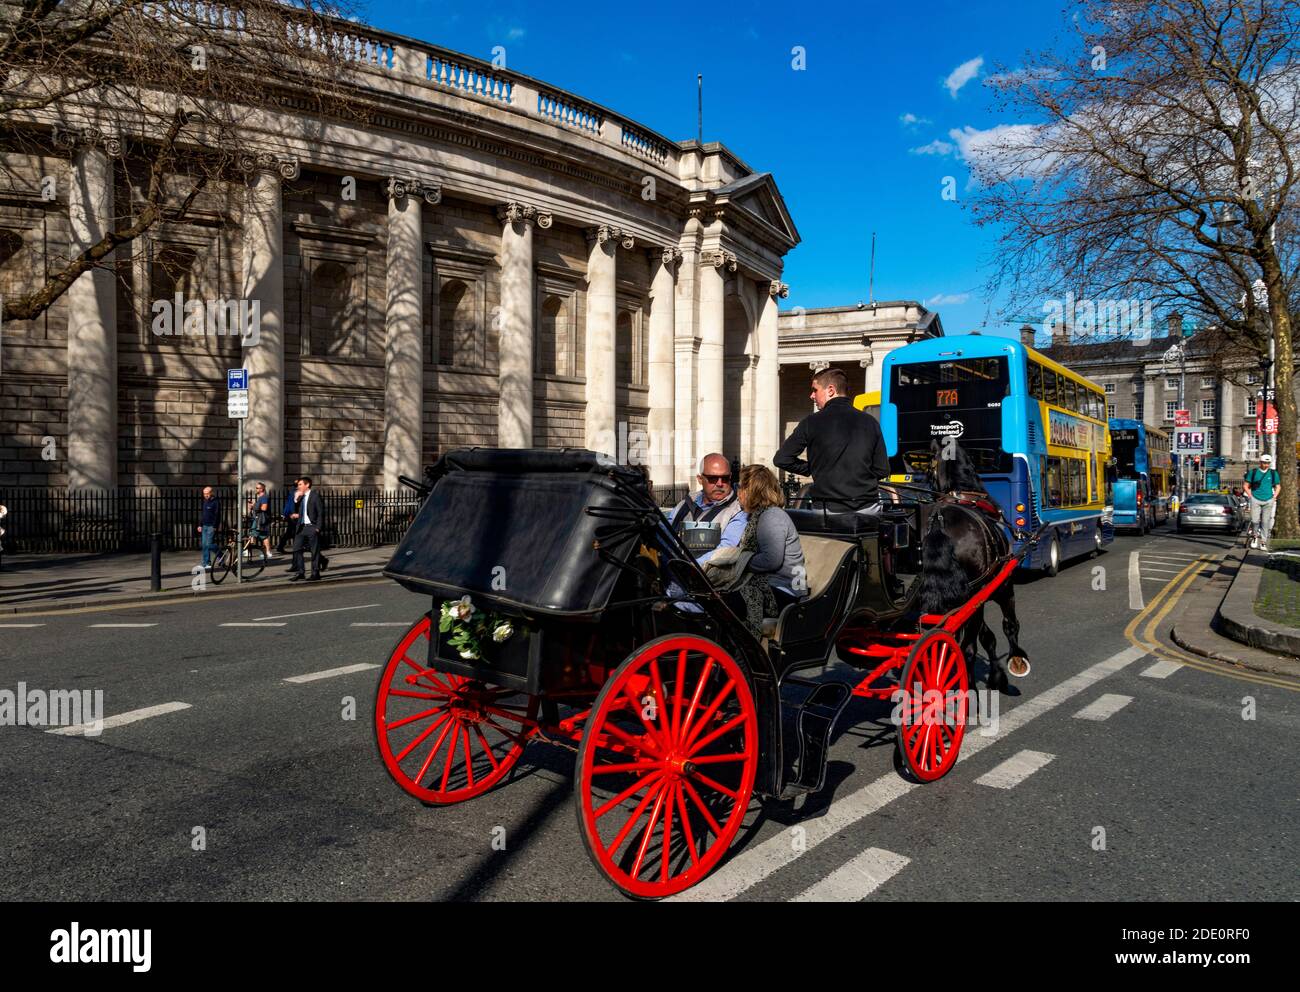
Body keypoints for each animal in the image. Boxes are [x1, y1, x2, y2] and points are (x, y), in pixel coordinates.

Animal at [909, 439, 1029, 696]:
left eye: (928, 470)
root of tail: (937, 521)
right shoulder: (1000, 586)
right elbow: (1009, 626)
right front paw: (1016, 661)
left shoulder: (974, 597)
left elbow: (987, 636)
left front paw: (997, 676)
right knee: (967, 647)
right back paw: (969, 690)